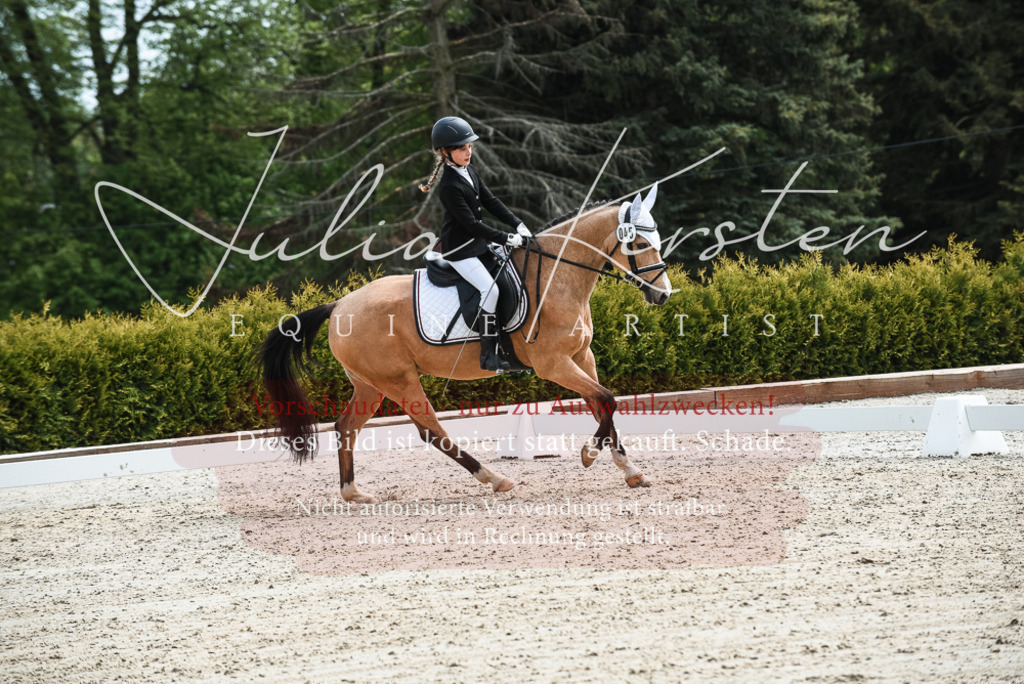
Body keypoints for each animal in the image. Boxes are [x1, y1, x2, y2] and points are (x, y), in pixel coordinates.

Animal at [261, 185, 671, 503]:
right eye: (637, 242)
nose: (663, 296)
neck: (558, 277)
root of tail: (339, 306)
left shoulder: (582, 357)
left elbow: (602, 404)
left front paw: (630, 470)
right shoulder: (553, 364)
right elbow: (607, 399)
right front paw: (588, 454)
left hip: (369, 385)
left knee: (346, 426)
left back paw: (353, 493)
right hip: (398, 380)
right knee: (432, 431)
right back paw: (495, 478)